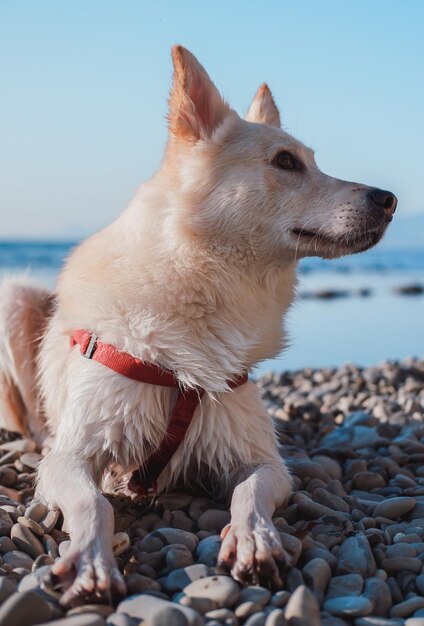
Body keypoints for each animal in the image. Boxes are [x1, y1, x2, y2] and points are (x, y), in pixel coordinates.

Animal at [0, 46, 398, 604]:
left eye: (310, 160)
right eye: (286, 162)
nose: (388, 199)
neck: (199, 296)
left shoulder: (261, 458)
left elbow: (250, 492)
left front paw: (254, 538)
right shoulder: (72, 454)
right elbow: (92, 503)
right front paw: (92, 558)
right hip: (14, 298)